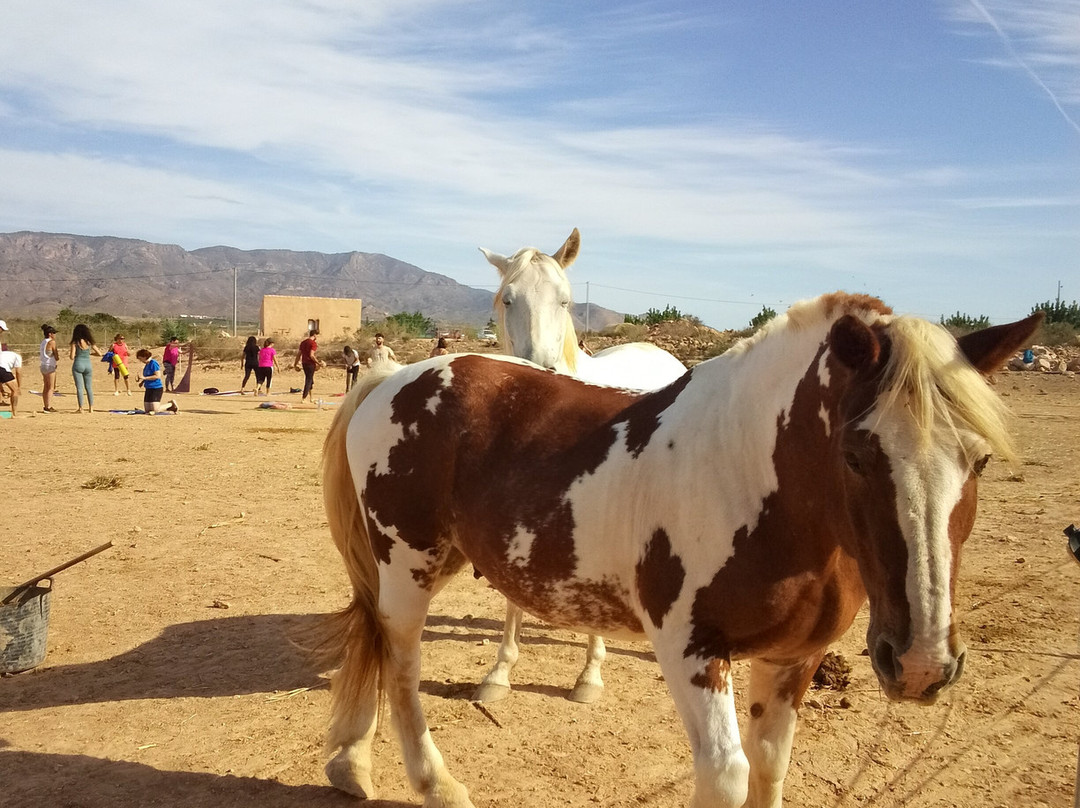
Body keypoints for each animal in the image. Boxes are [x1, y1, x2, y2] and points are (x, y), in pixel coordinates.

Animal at [319, 292, 1039, 808]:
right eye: (858, 454)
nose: (919, 663)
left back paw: (351, 764)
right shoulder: (692, 653)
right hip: (408, 565)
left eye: (980, 460)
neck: (750, 477)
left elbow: (769, 770)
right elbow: (727, 777)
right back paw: (434, 785)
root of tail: (398, 377)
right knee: (401, 667)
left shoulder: (792, 660)